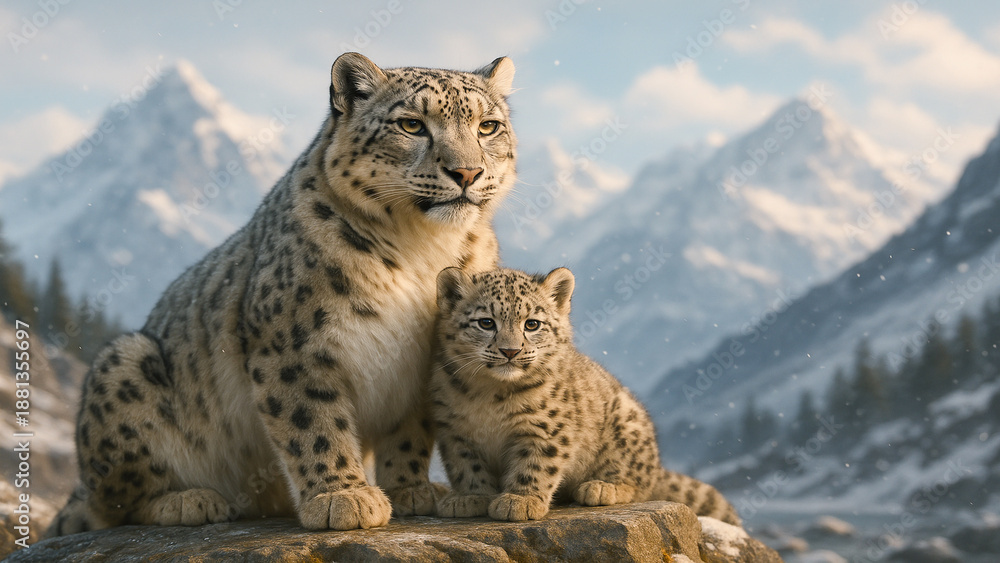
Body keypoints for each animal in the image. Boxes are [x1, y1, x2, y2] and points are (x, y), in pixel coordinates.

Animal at [47, 52, 517, 535]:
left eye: (488, 127)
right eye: (411, 124)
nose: (467, 172)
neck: (422, 248)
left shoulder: (426, 362)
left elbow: (409, 431)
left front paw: (410, 490)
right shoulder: (295, 346)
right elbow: (314, 423)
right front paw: (342, 498)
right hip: (124, 364)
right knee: (114, 501)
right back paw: (189, 500)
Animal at [430, 266, 741, 525]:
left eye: (532, 324)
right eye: (485, 322)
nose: (510, 351)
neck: (490, 394)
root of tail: (657, 465)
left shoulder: (547, 428)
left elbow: (536, 464)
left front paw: (520, 501)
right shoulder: (453, 430)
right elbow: (466, 466)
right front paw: (471, 497)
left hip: (627, 425)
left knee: (639, 483)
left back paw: (601, 487)